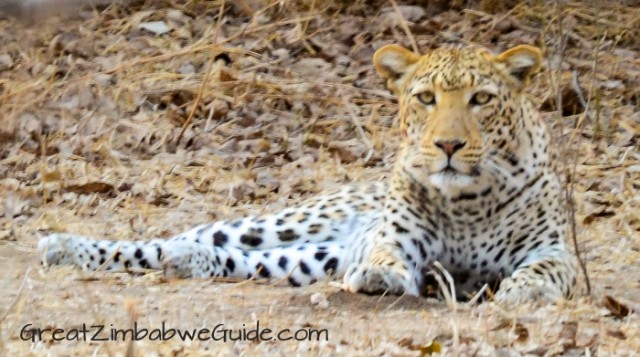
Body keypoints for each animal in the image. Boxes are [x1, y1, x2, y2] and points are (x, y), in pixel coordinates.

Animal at [40, 43, 580, 302]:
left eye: (481, 99)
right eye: (426, 98)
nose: (448, 145)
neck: (468, 202)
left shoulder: (554, 248)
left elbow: (547, 268)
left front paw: (527, 289)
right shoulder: (400, 240)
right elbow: (387, 254)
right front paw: (380, 275)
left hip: (317, 257)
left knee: (241, 260)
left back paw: (188, 260)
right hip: (283, 222)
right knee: (171, 239)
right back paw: (63, 245)